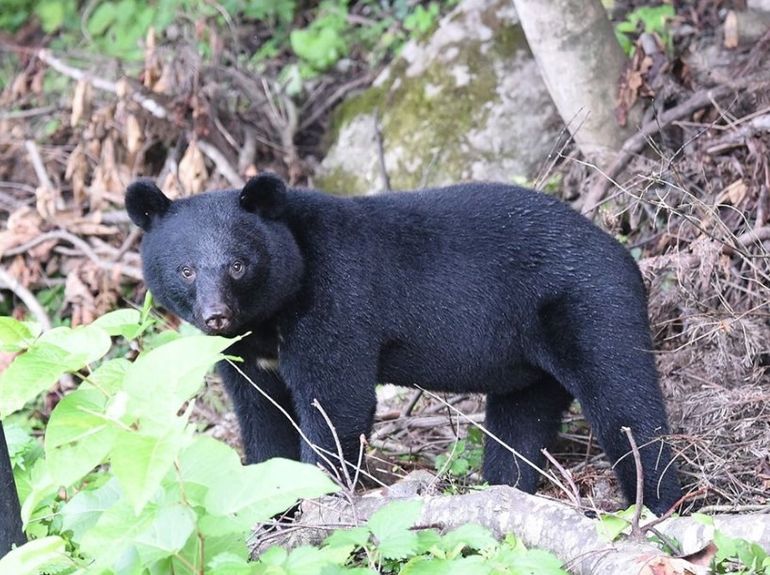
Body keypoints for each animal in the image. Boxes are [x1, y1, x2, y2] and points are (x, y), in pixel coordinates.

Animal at [125, 173, 681, 515]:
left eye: (239, 265)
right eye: (186, 269)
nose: (216, 315)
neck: (269, 316)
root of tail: (622, 252)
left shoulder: (335, 299)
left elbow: (335, 402)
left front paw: (318, 500)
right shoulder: (244, 354)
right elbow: (261, 417)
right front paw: (268, 508)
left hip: (590, 305)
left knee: (625, 403)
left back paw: (659, 504)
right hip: (529, 361)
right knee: (519, 427)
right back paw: (504, 490)